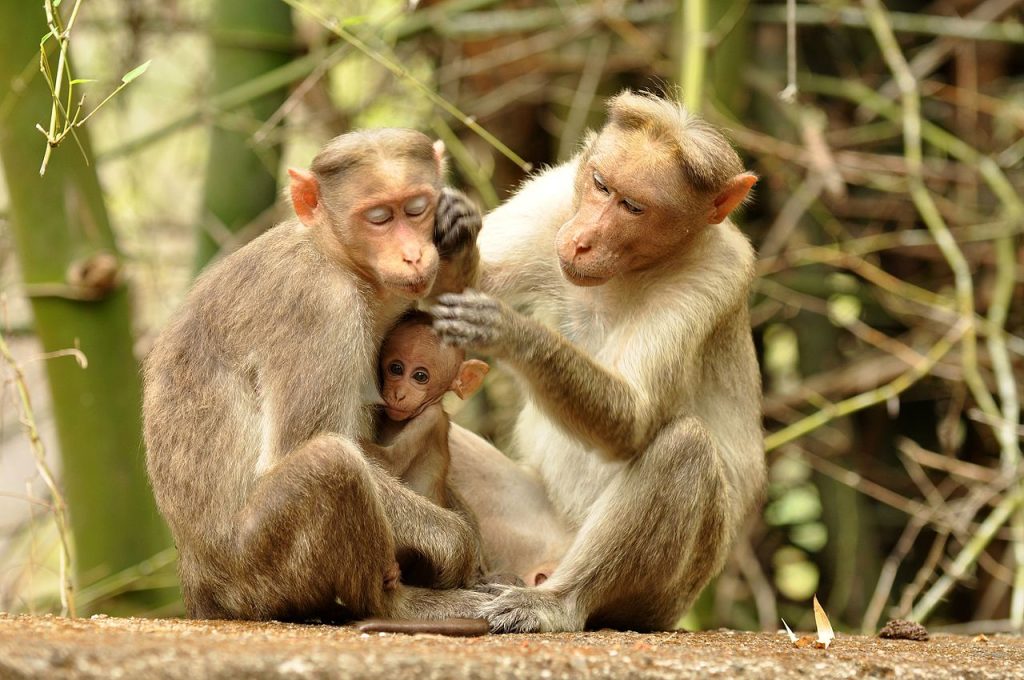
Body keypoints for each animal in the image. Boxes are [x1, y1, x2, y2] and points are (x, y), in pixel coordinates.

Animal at [143, 128, 493, 623]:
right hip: (259, 576)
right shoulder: (319, 309)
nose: (412, 255)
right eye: (379, 218)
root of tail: (199, 583)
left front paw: (458, 230)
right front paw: (458, 546)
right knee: (331, 462)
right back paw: (398, 605)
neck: (334, 256)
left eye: (417, 208)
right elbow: (307, 446)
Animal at [433, 90, 766, 632]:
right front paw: (448, 223)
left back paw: (558, 602)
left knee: (685, 448)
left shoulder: (713, 277)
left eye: (633, 206)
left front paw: (509, 332)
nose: (582, 238)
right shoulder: (554, 200)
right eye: (600, 185)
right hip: (525, 528)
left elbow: (633, 420)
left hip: (661, 597)